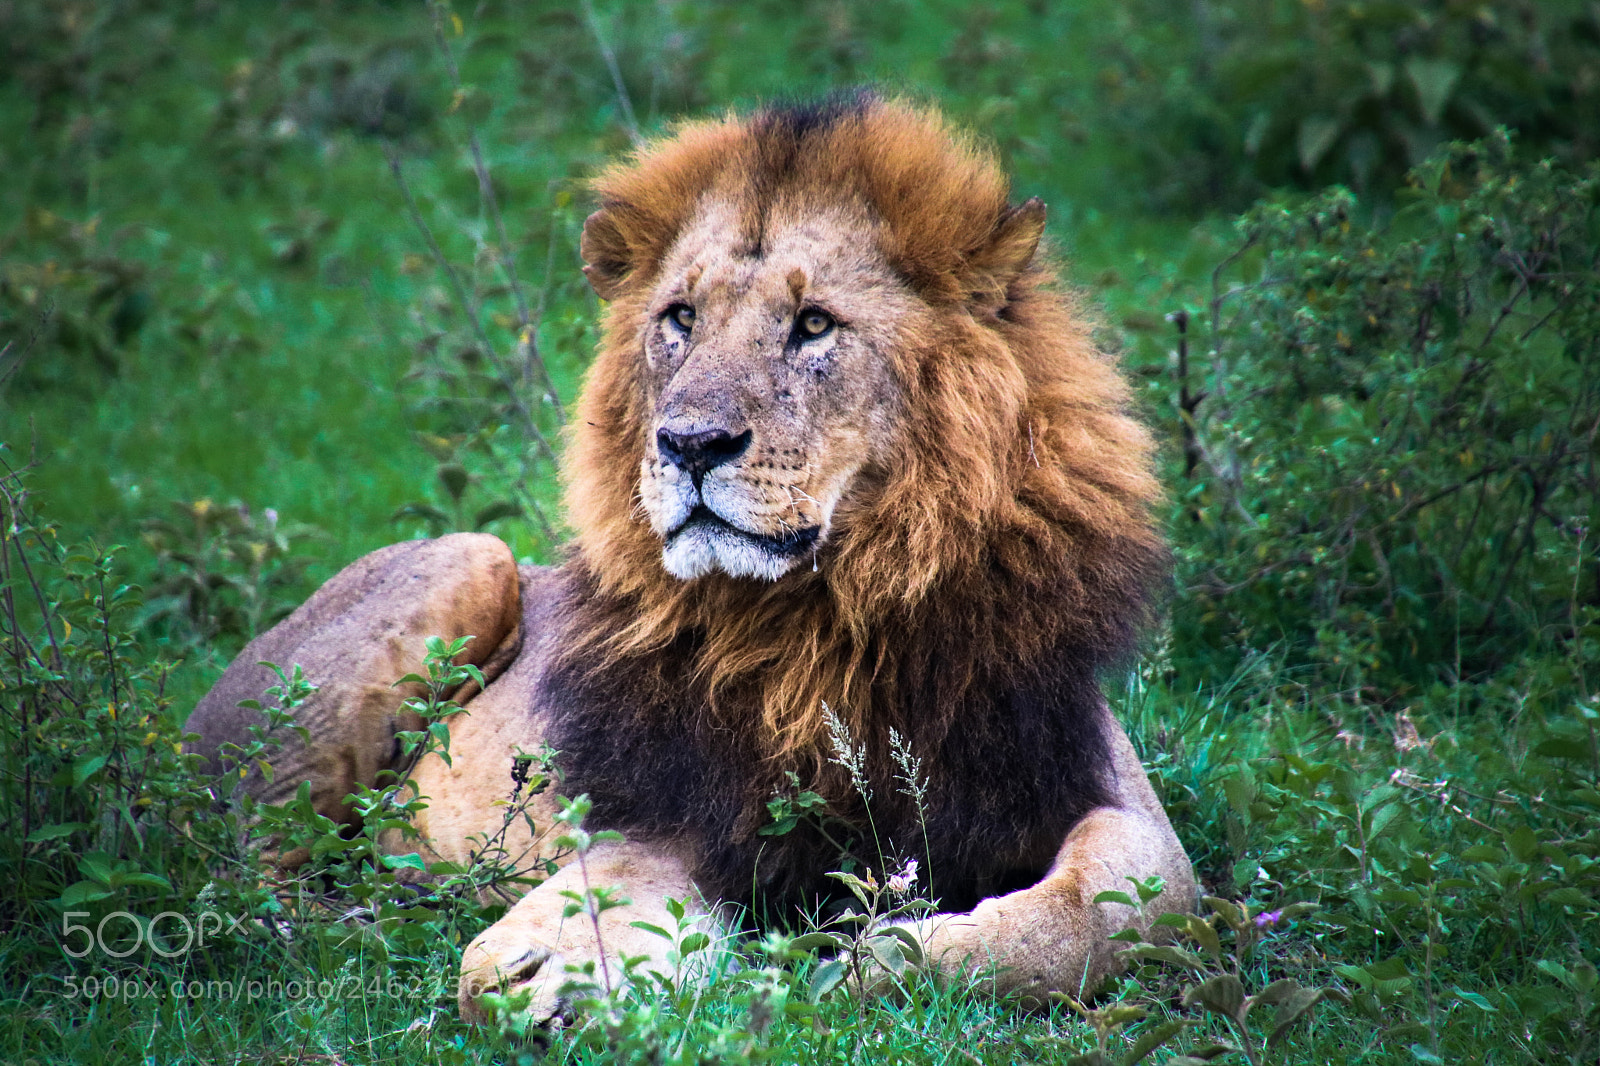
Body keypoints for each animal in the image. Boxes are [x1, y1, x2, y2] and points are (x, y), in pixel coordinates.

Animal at [187, 93, 1196, 1025]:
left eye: (814, 325)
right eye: (679, 317)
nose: (690, 443)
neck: (825, 616)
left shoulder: (1094, 783)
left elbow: (1113, 911)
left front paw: (885, 959)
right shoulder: (680, 799)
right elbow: (623, 874)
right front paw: (557, 966)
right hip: (467, 565)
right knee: (234, 866)